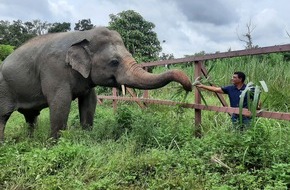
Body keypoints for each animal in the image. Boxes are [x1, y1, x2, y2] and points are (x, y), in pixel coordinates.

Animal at [0, 26, 193, 140]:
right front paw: (55, 143)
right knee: (3, 115)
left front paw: (87, 137)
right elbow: (60, 102)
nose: (188, 87)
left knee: (31, 117)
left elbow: (89, 102)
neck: (83, 35)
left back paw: (30, 139)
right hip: (4, 88)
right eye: (114, 62)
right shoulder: (53, 69)